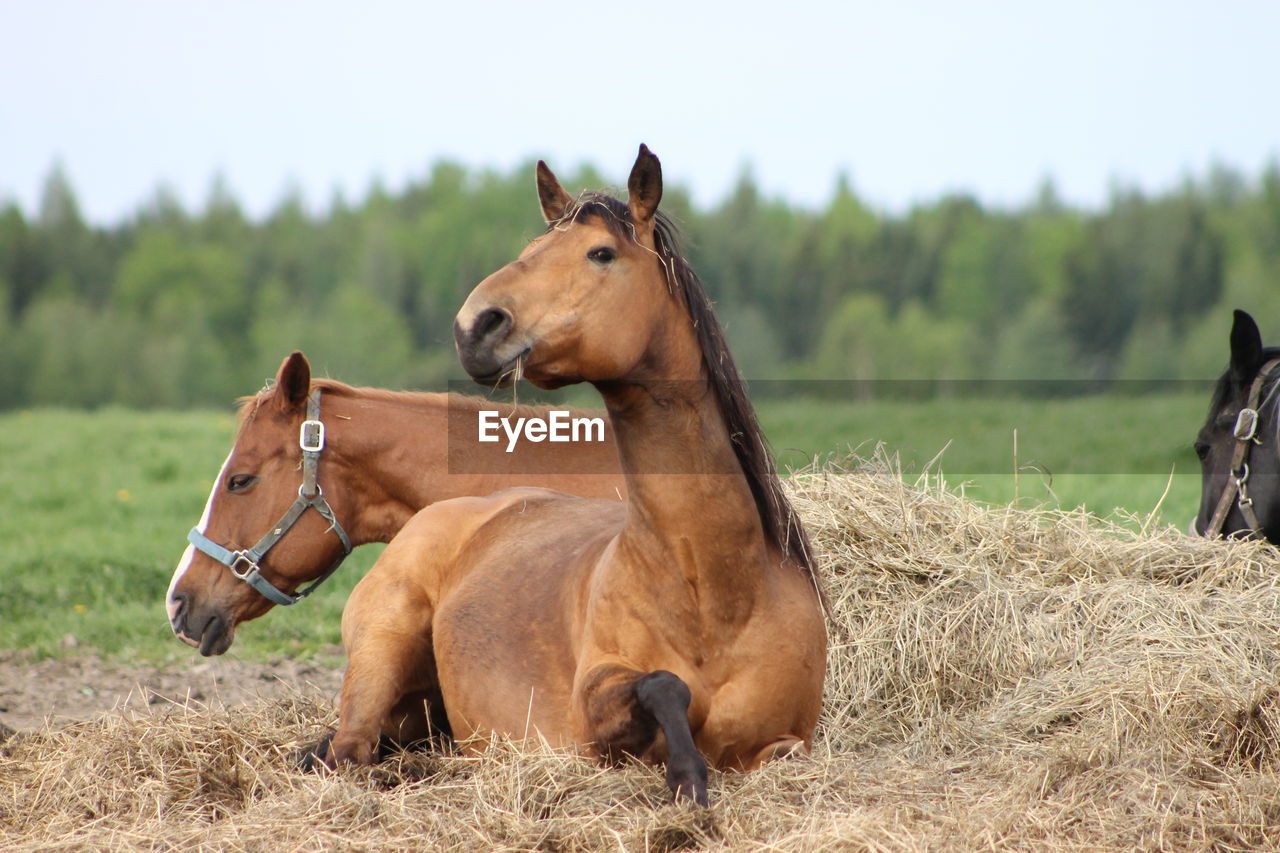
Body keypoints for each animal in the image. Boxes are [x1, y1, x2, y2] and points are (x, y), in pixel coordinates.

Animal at [314, 146, 824, 804]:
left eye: (600, 253)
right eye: (535, 245)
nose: (474, 326)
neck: (717, 590)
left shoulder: (791, 742)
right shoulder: (593, 709)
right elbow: (664, 685)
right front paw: (687, 776)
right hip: (383, 648)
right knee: (350, 754)